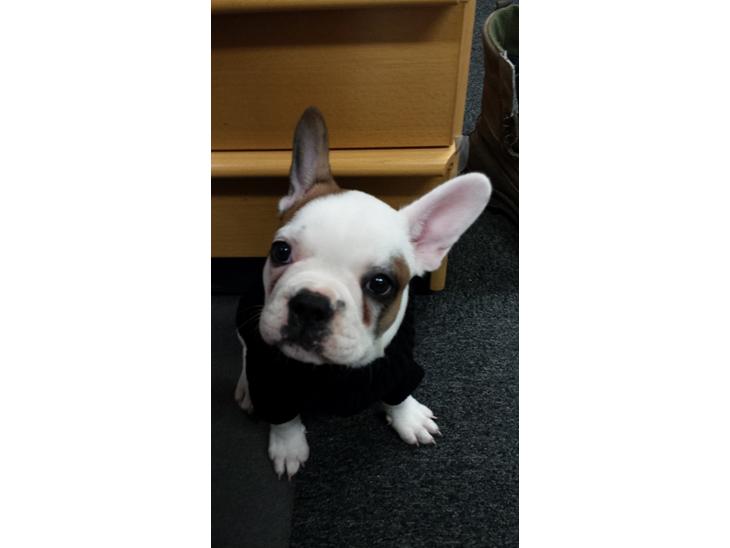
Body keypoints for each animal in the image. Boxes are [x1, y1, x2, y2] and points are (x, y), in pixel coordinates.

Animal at [235, 107, 491, 479]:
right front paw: (289, 446)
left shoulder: (399, 366)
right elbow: (284, 419)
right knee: (244, 350)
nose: (311, 304)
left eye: (380, 284)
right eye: (280, 251)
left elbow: (398, 393)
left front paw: (407, 418)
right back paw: (245, 390)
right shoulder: (273, 381)